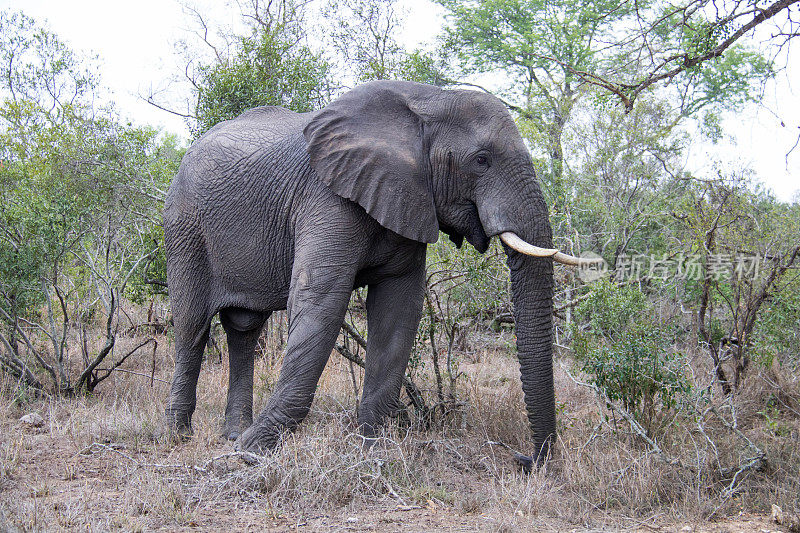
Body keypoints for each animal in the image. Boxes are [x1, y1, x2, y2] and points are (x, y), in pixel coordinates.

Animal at [164, 80, 580, 466]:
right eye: (481, 160)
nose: (525, 459)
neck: (429, 101)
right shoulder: (327, 197)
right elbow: (321, 304)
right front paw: (253, 454)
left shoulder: (409, 200)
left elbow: (398, 310)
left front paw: (370, 449)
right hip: (185, 227)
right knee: (191, 325)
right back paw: (180, 436)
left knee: (244, 328)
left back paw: (233, 434)